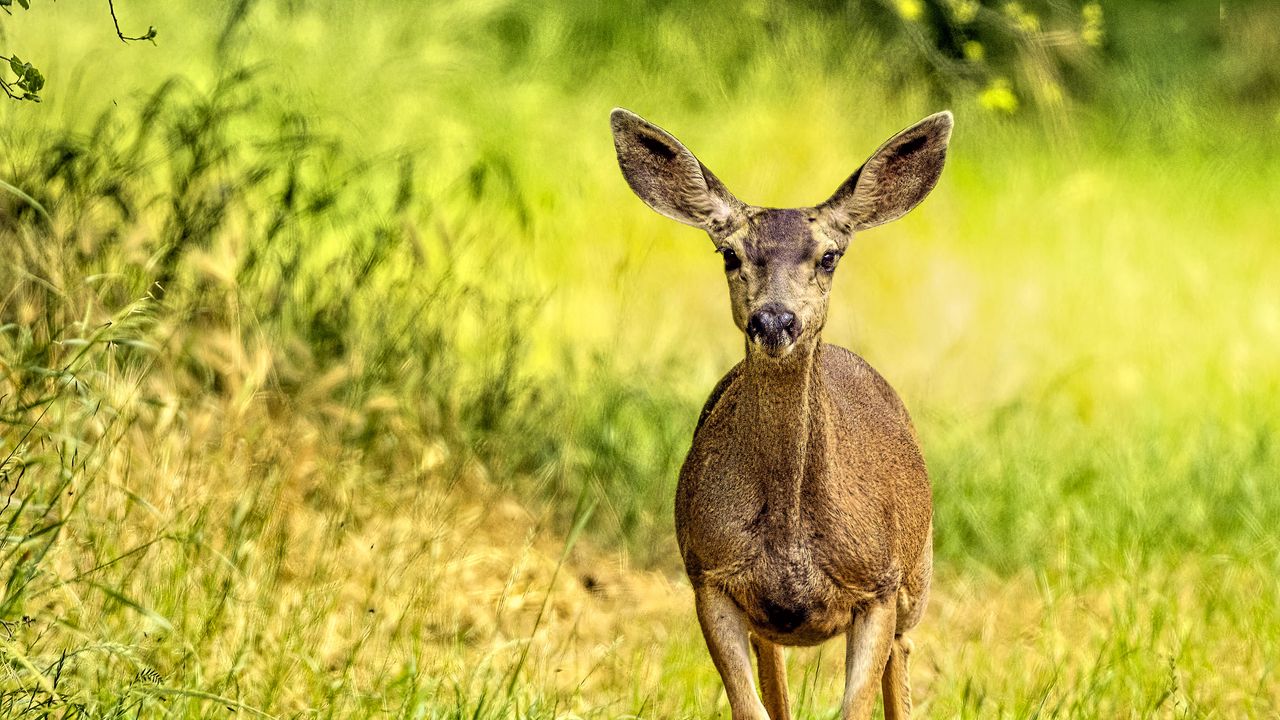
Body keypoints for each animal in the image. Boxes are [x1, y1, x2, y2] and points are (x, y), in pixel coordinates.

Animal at [609, 107, 952, 717]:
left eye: (829, 256)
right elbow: (751, 706)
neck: (792, 539)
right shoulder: (710, 574)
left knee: (902, 665)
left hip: (918, 576)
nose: (774, 320)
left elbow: (857, 706)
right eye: (729, 253)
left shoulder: (879, 585)